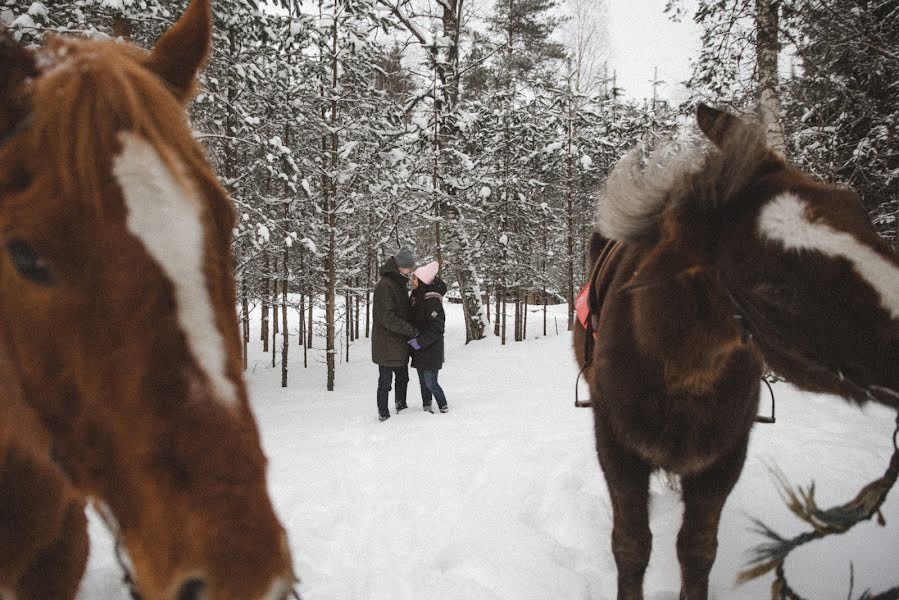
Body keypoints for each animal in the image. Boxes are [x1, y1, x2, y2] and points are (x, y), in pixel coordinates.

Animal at [576, 104, 899, 600]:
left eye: (856, 207)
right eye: (772, 289)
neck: (677, 369)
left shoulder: (724, 457)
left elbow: (697, 550)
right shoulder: (617, 448)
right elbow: (631, 546)